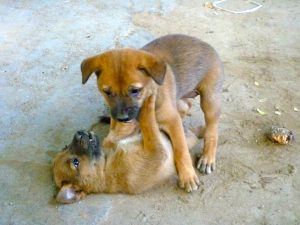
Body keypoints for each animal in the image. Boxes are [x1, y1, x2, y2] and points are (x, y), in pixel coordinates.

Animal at [53, 96, 199, 204]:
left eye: (65, 147)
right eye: (75, 162)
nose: (79, 133)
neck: (106, 164)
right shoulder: (157, 152)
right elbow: (149, 125)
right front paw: (148, 102)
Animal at [81, 33, 224, 192]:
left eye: (135, 90)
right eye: (107, 92)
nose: (122, 118)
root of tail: (205, 44)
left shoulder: (172, 121)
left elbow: (181, 149)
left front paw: (187, 176)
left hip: (210, 99)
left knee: (212, 129)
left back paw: (207, 157)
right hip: (182, 100)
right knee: (186, 106)